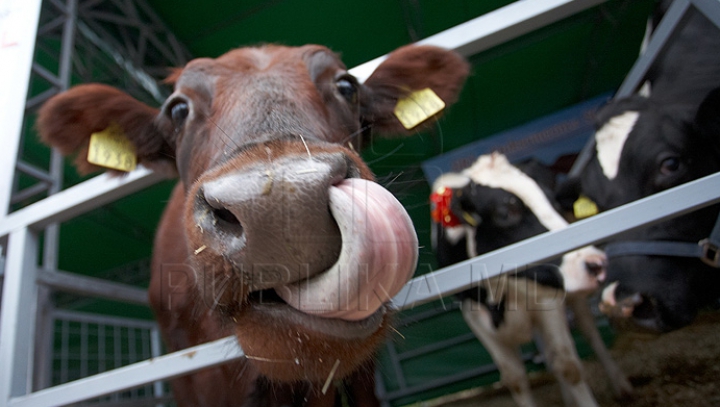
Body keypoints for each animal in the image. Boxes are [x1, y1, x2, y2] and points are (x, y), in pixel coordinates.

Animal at [434, 152, 632, 407]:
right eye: (505, 213)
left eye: (554, 203)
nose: (595, 264)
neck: (500, 293)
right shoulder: (476, 319)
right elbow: (516, 380)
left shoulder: (549, 302)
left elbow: (568, 366)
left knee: (590, 335)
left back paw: (620, 386)